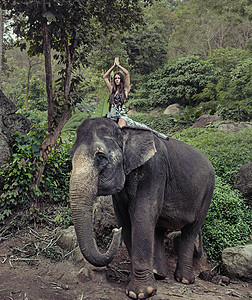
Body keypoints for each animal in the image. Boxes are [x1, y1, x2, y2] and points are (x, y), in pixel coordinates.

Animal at [69, 118, 215, 300]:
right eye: (70, 156)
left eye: (101, 157)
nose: (114, 231)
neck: (125, 132)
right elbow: (126, 222)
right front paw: (139, 286)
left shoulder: (154, 170)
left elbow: (141, 216)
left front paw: (139, 293)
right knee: (159, 229)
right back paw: (158, 274)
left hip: (207, 193)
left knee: (190, 230)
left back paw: (184, 280)